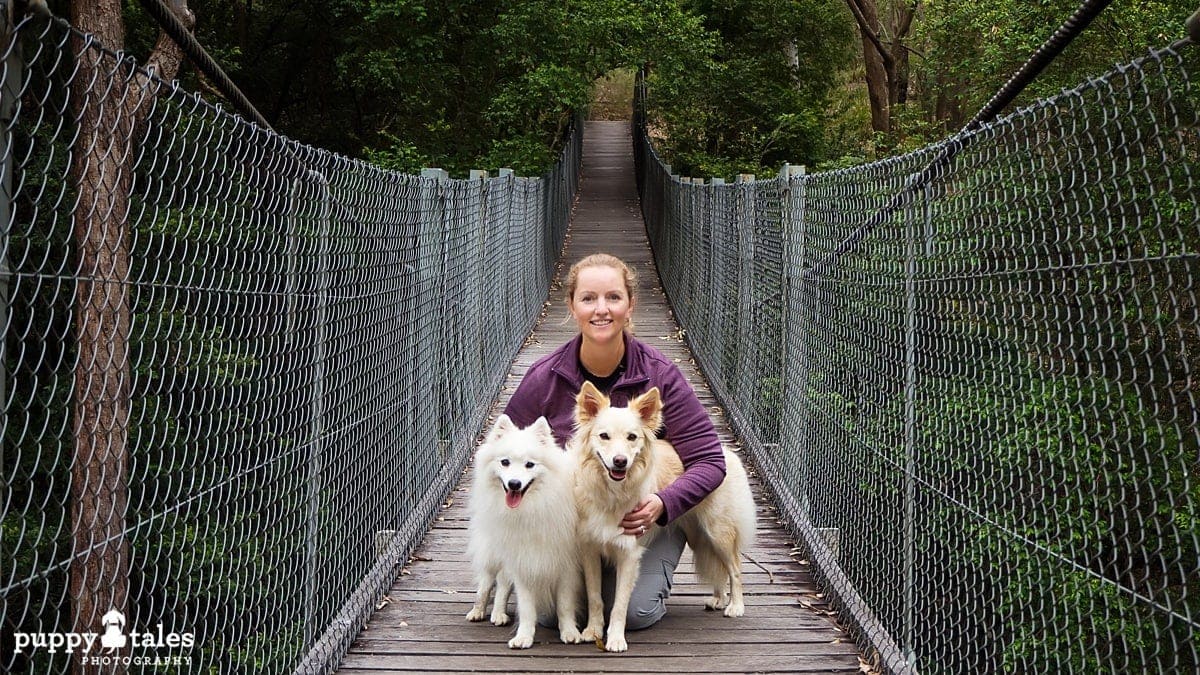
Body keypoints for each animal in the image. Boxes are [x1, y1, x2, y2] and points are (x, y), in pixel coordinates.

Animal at [463, 410, 585, 648]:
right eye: (505, 462)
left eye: (530, 465)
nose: (514, 484)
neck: (533, 508)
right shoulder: (523, 560)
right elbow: (526, 607)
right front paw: (524, 637)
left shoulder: (567, 565)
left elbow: (565, 604)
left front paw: (569, 632)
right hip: (495, 550)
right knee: (487, 581)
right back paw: (478, 610)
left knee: (502, 584)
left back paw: (498, 614)